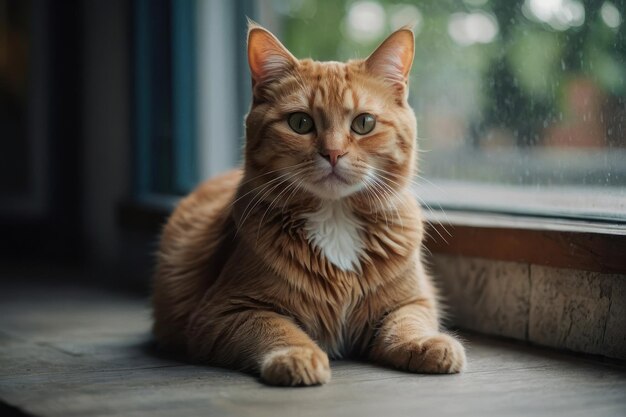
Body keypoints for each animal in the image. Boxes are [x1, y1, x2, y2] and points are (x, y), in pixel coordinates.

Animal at [151, 22, 464, 386]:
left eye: (364, 123)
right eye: (300, 123)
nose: (333, 153)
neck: (335, 218)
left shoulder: (414, 301)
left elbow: (408, 323)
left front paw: (428, 343)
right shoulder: (225, 312)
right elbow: (276, 328)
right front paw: (297, 356)